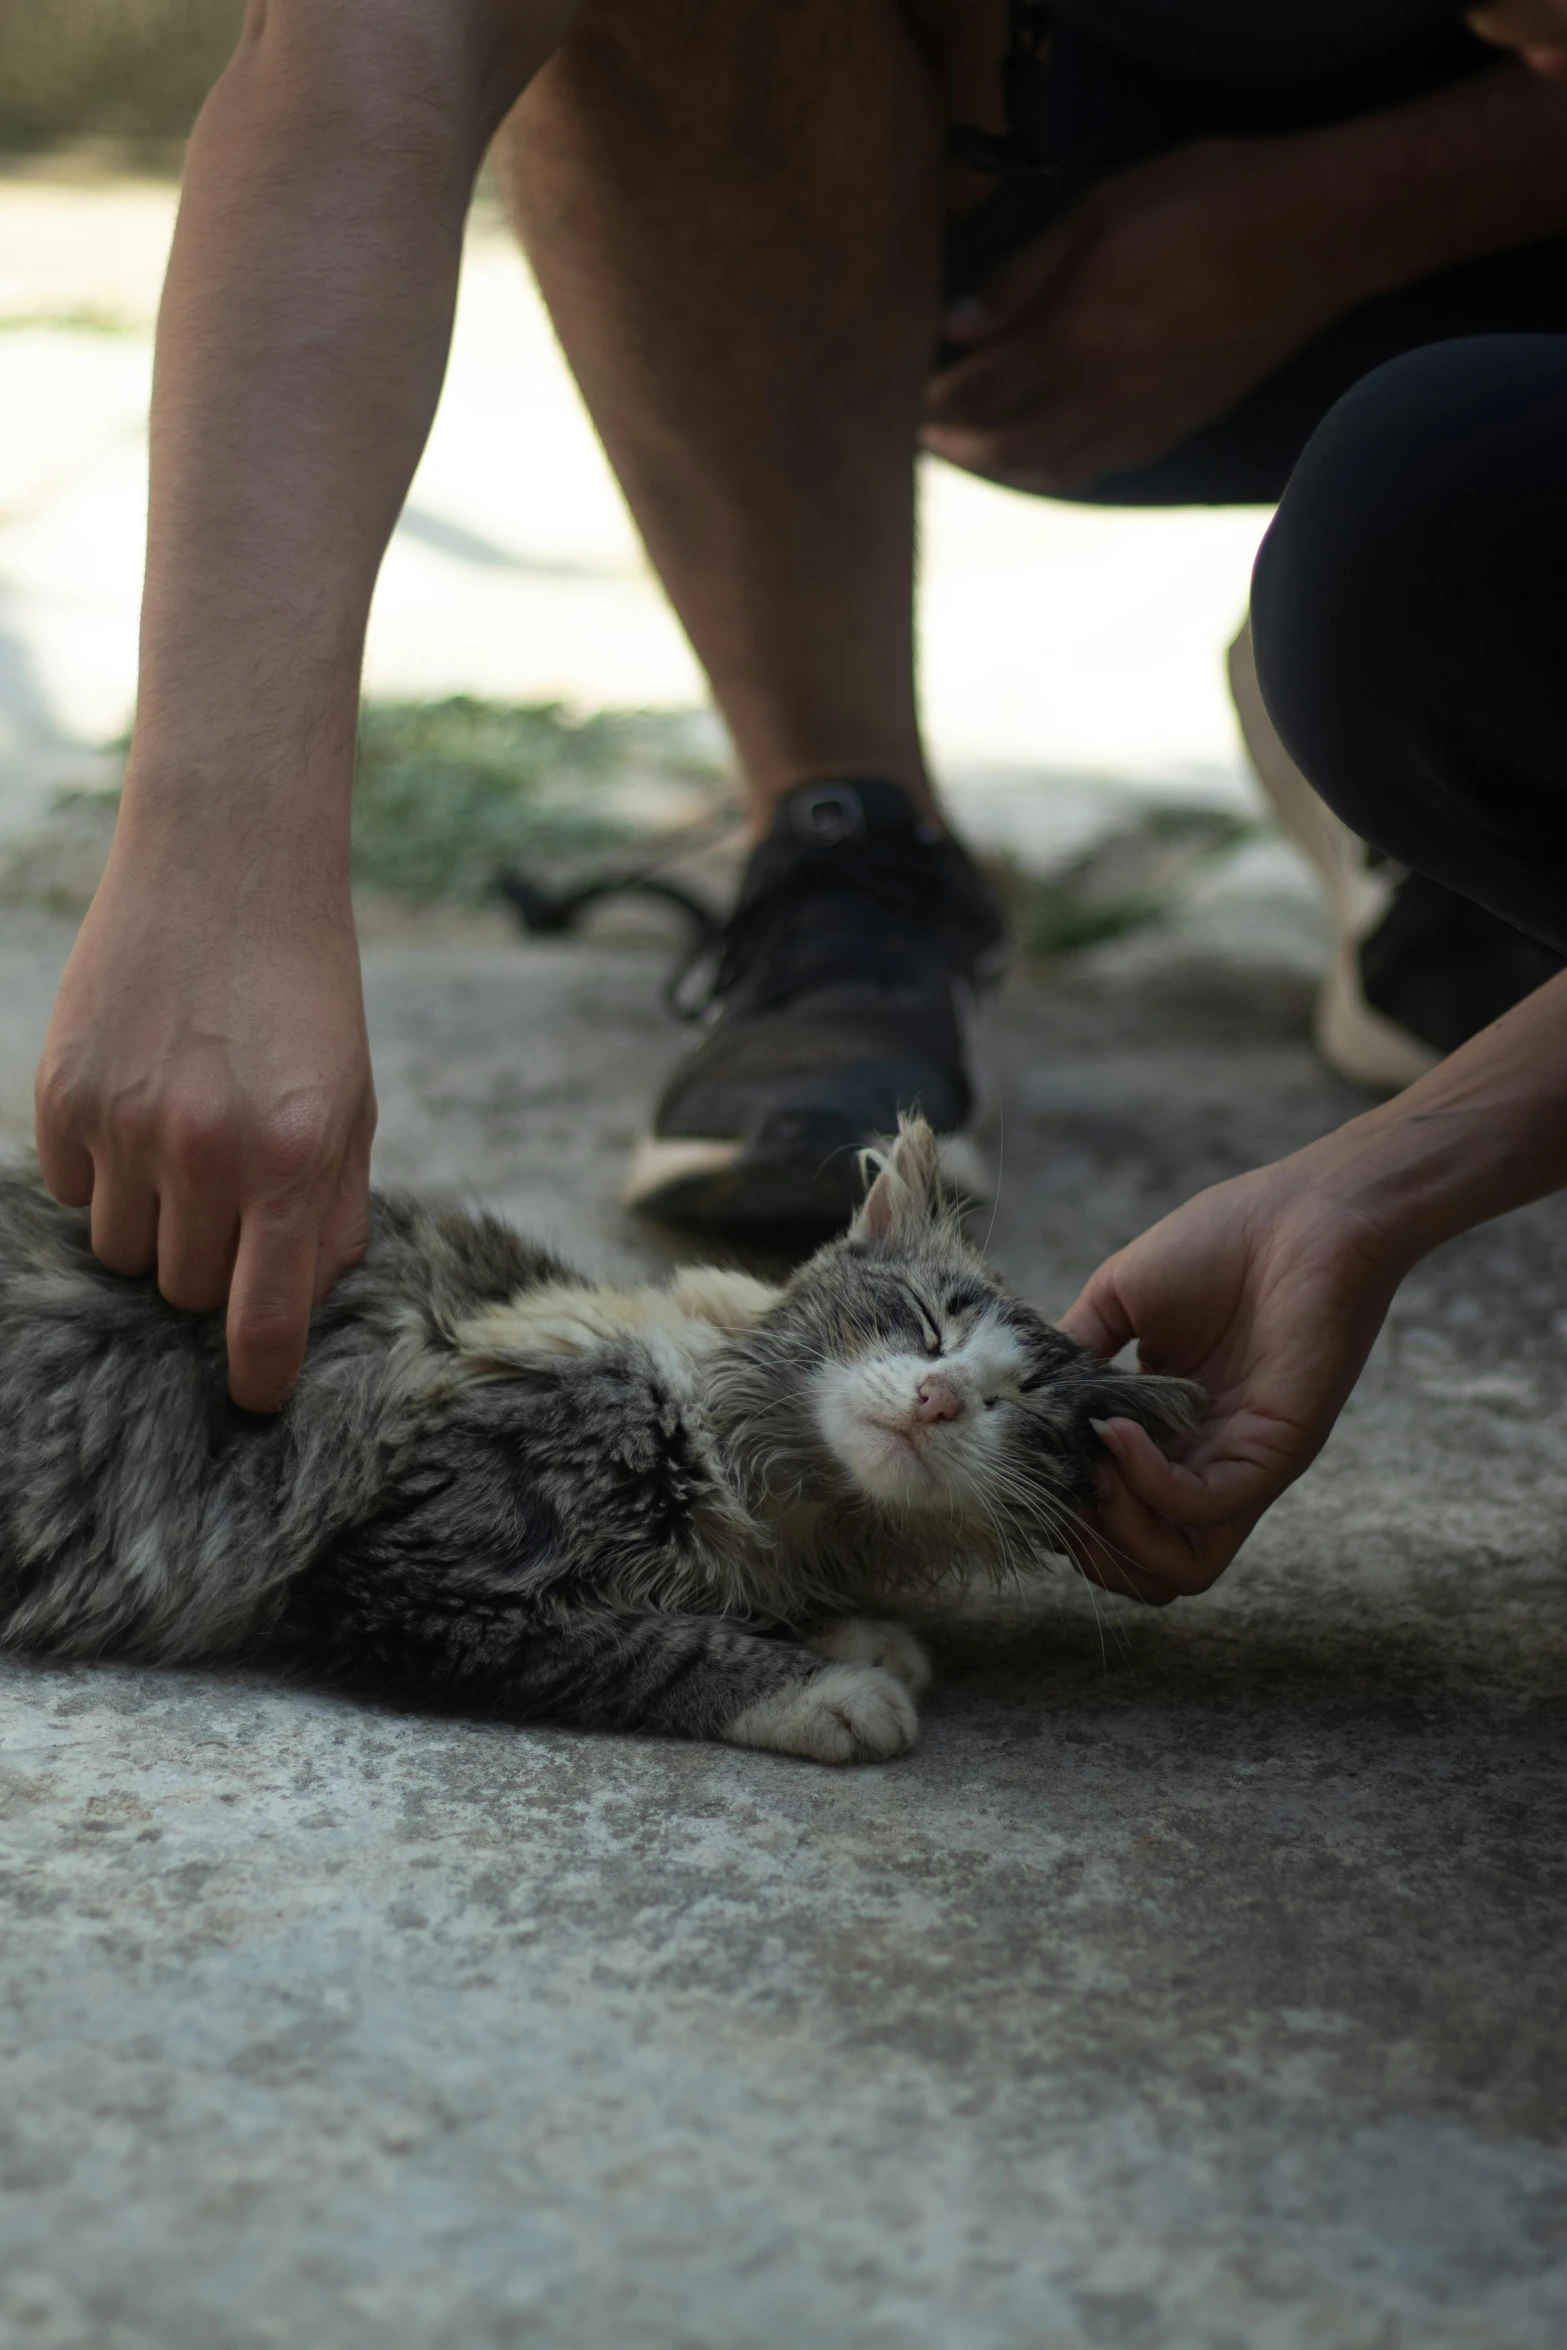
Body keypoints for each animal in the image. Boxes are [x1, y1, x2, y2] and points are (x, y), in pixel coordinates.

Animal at [0, 1118, 1212, 1767]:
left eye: (1019, 1409)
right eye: (926, 1322)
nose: (938, 1399)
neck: (780, 1502)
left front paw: (855, 1634)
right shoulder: (413, 1576)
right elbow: (655, 1645)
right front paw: (828, 1688)